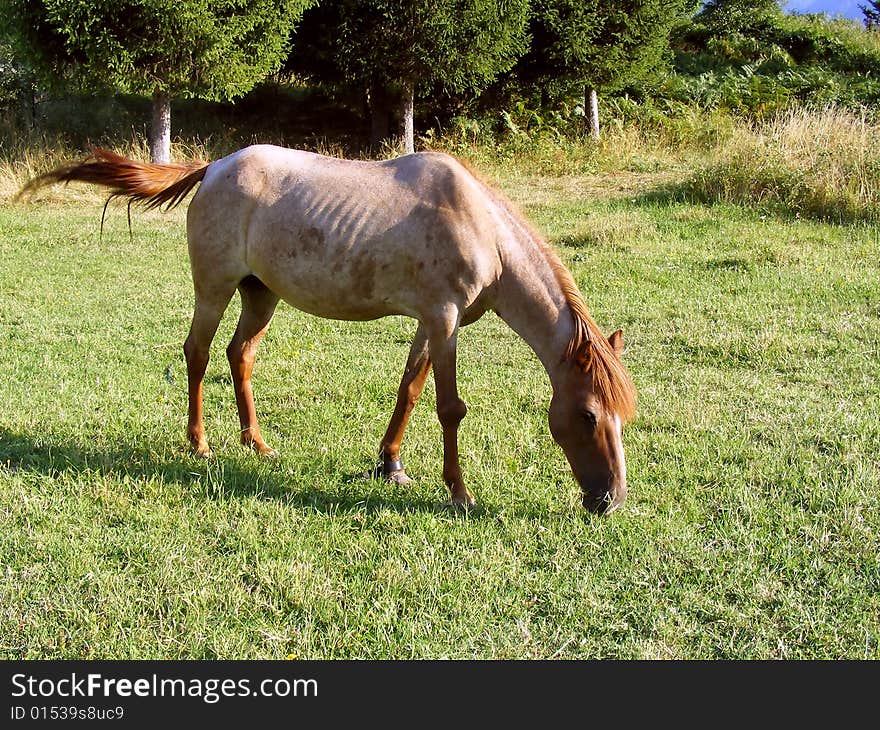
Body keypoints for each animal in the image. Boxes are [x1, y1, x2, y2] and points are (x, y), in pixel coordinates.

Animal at [20, 145, 636, 512]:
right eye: (587, 415)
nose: (609, 500)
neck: (481, 226)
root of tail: (214, 167)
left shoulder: (431, 322)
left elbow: (409, 389)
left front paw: (390, 463)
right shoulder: (444, 319)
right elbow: (449, 407)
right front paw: (458, 492)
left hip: (260, 293)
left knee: (239, 355)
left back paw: (256, 442)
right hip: (215, 288)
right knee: (197, 353)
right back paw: (199, 444)